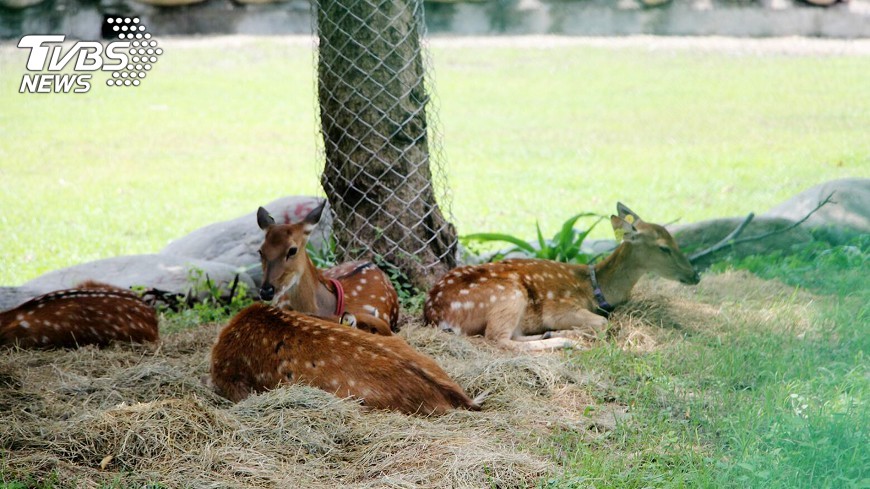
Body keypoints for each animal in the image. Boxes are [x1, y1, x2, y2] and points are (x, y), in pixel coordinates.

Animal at [426, 202, 704, 350]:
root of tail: (436, 315)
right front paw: (578, 335)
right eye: (664, 247)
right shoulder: (559, 306)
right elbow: (603, 324)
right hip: (508, 295)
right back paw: (566, 340)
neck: (593, 287)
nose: (695, 275)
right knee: (499, 339)